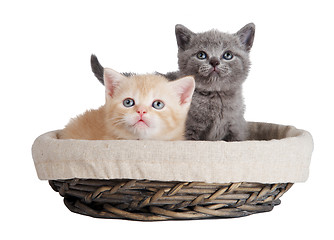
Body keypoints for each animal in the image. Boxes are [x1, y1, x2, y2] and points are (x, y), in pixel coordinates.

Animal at [90, 22, 254, 141]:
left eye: (228, 55)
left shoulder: (236, 129)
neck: (216, 96)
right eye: (201, 55)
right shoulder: (189, 131)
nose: (214, 62)